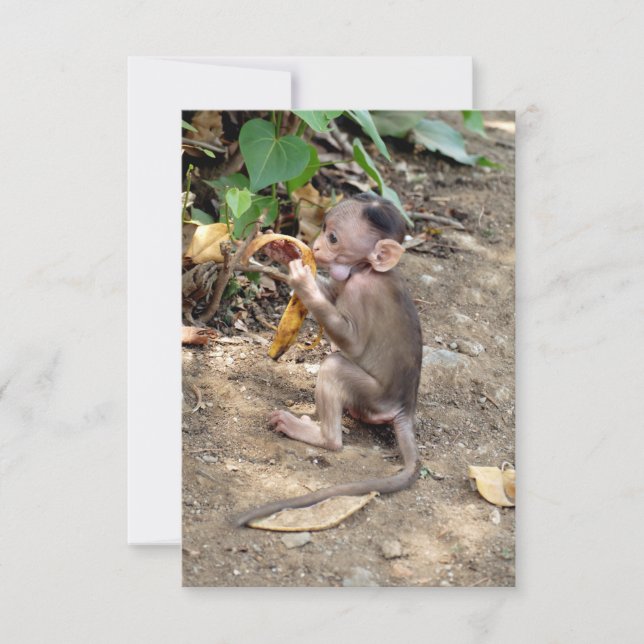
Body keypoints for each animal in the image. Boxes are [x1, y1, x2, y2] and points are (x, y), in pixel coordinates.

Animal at [235, 194, 423, 527]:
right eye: (323, 229)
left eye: (333, 238)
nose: (317, 246)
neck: (366, 269)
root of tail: (404, 408)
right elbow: (332, 292)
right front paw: (282, 250)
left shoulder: (362, 291)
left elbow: (352, 342)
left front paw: (303, 282)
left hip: (374, 398)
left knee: (334, 367)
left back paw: (320, 436)